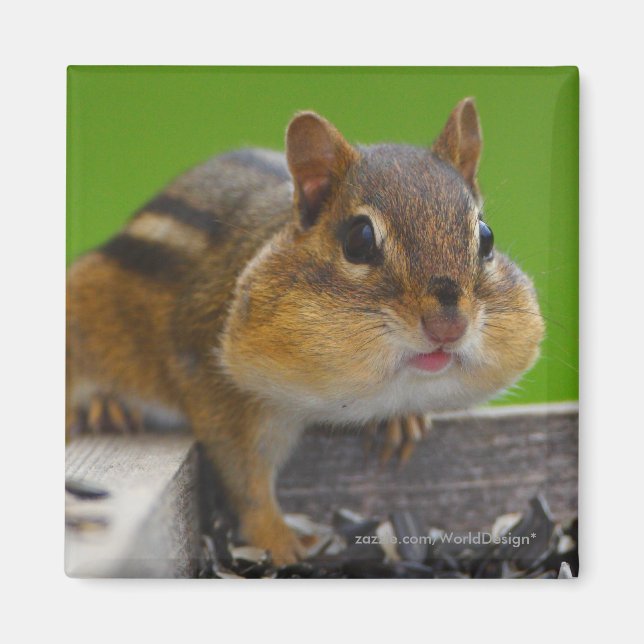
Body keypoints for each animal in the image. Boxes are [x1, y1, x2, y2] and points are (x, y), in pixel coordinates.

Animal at [66, 98, 544, 564]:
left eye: (486, 236)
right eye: (359, 240)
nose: (448, 326)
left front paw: (401, 421)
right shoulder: (211, 379)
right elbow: (245, 476)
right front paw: (276, 540)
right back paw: (105, 407)